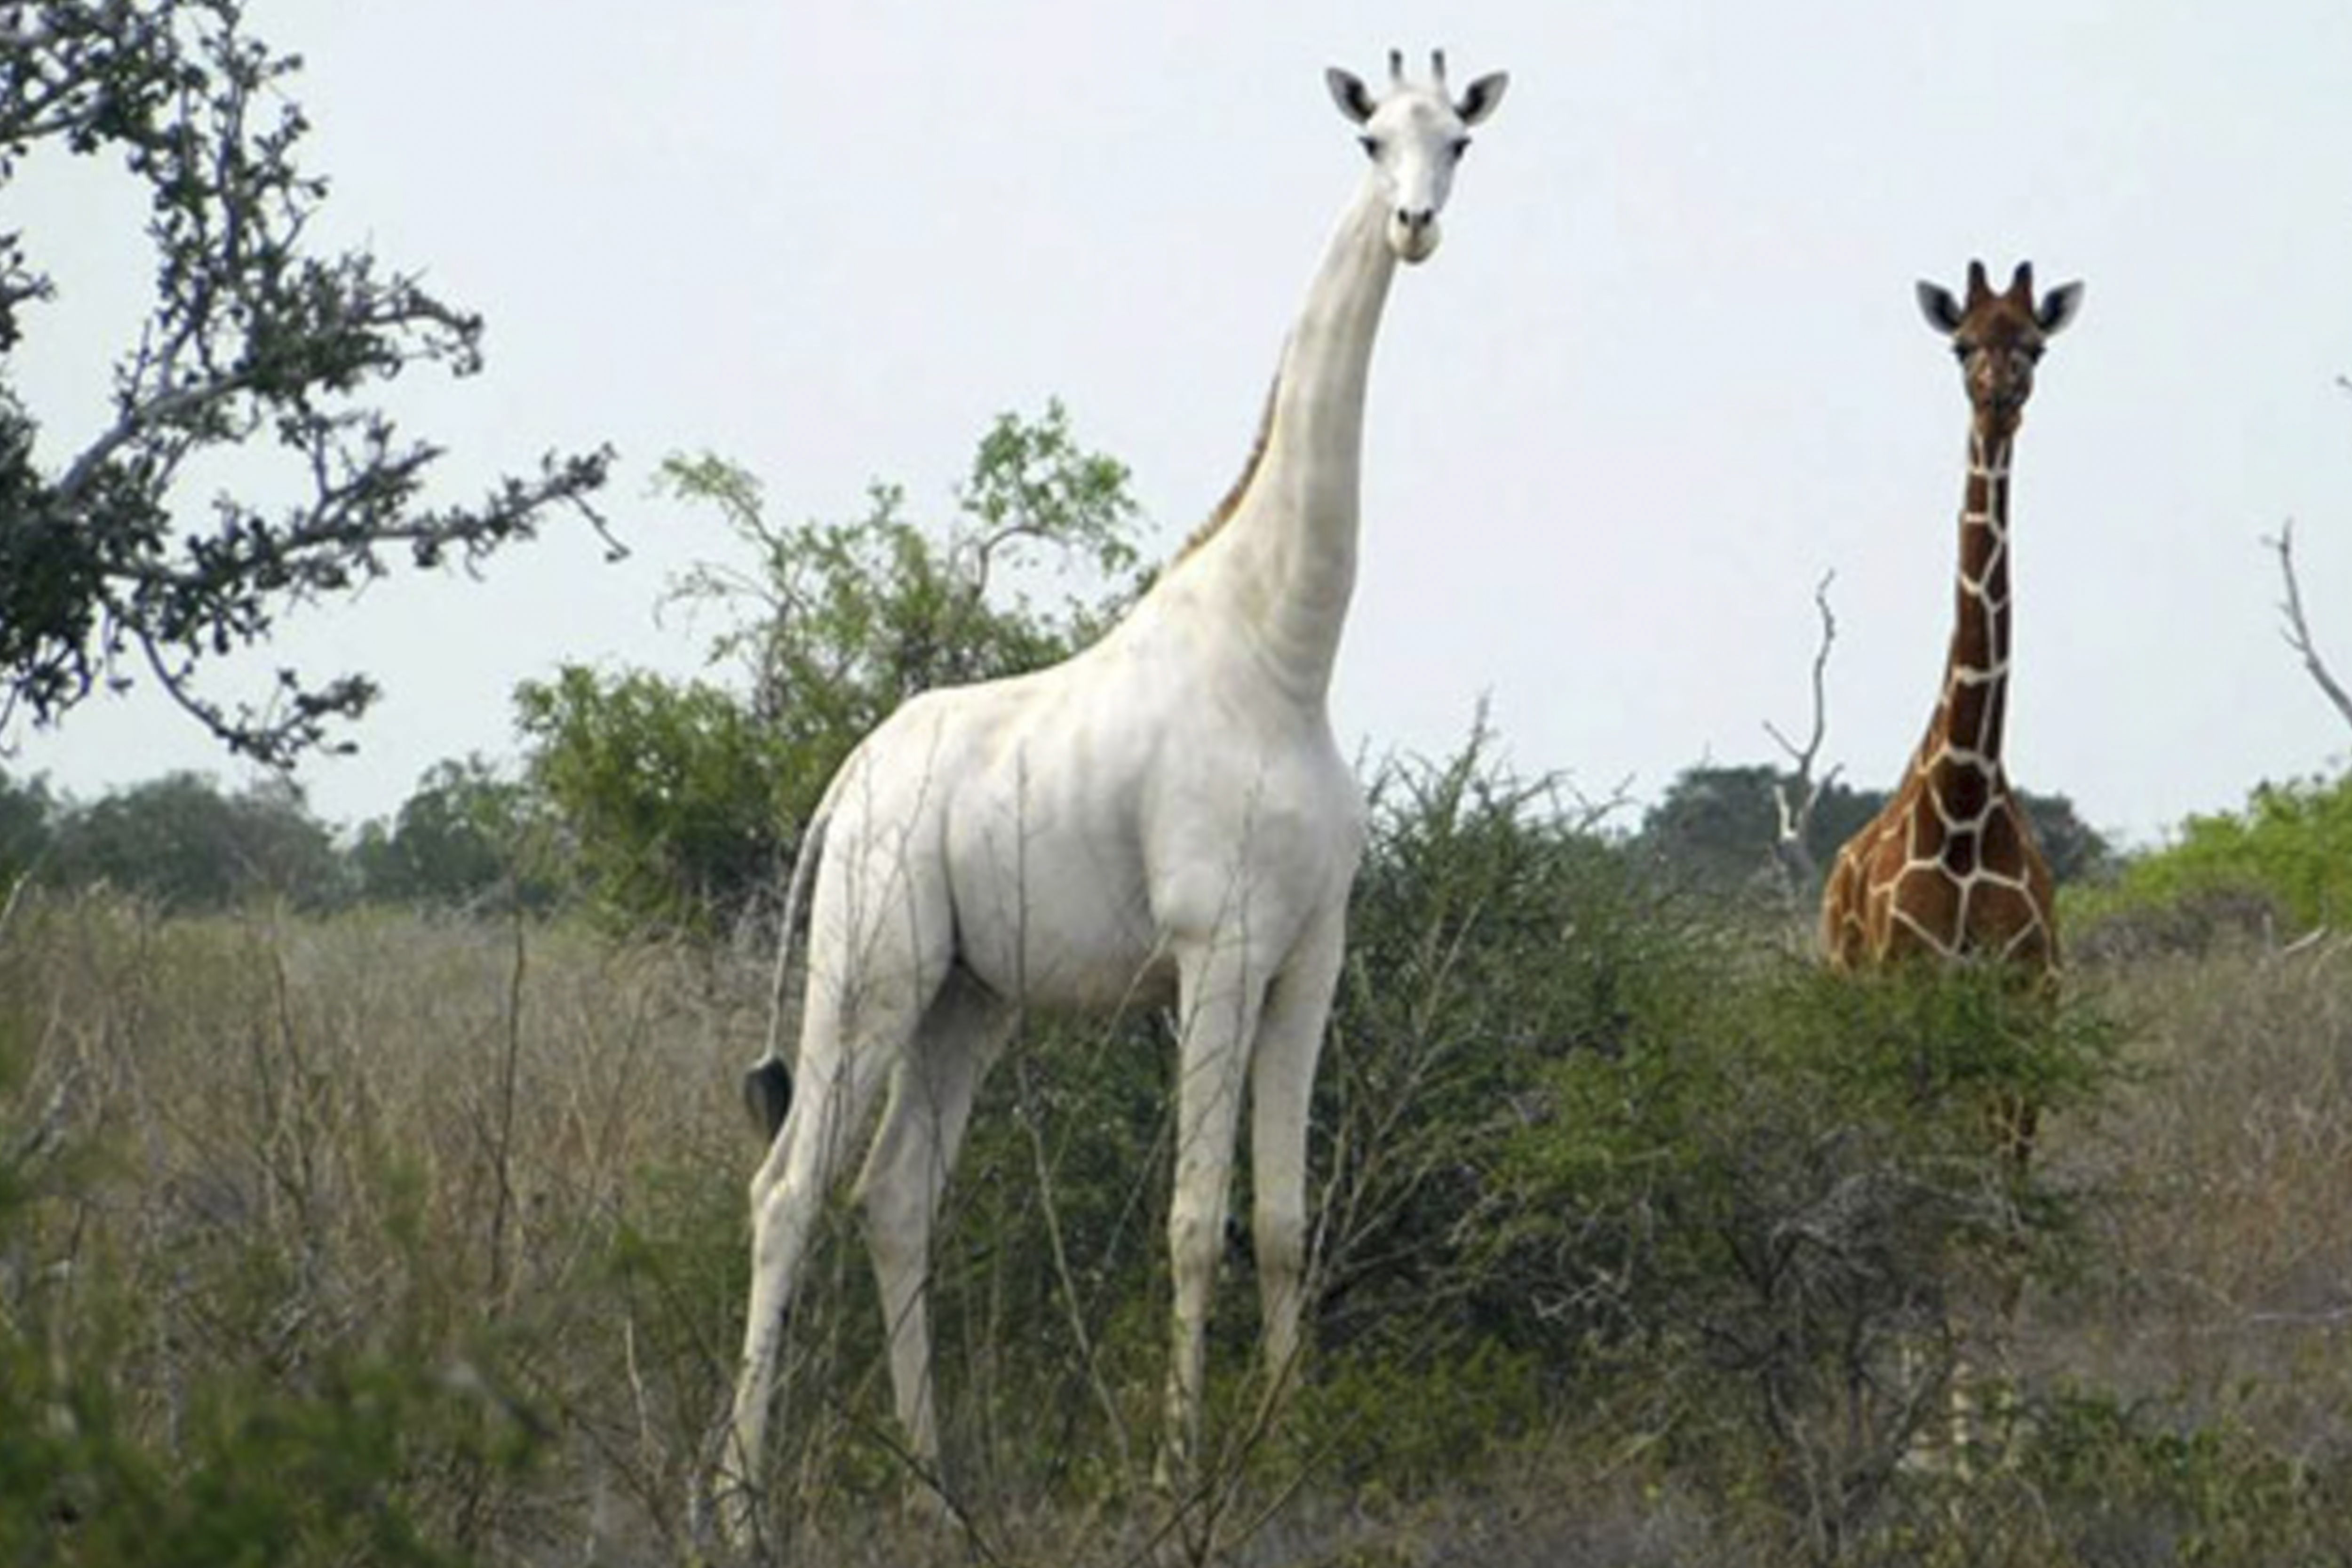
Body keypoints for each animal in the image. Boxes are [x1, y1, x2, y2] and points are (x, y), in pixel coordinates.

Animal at [715, 46, 1505, 1533]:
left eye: (1460, 143)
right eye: (1370, 138)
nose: (1416, 226)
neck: (1284, 654)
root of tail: (847, 780)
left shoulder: (1312, 955)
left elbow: (1282, 1221)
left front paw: (1283, 1456)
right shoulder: (1215, 948)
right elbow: (1194, 1220)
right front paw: (1177, 1474)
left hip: (969, 996)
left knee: (895, 1193)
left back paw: (936, 1487)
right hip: (871, 964)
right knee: (786, 1189)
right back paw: (738, 1502)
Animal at [1816, 263, 2079, 987]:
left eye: (2035, 348)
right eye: (1961, 346)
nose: (1999, 398)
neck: (1963, 795)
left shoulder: (2034, 980)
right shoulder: (1906, 971)